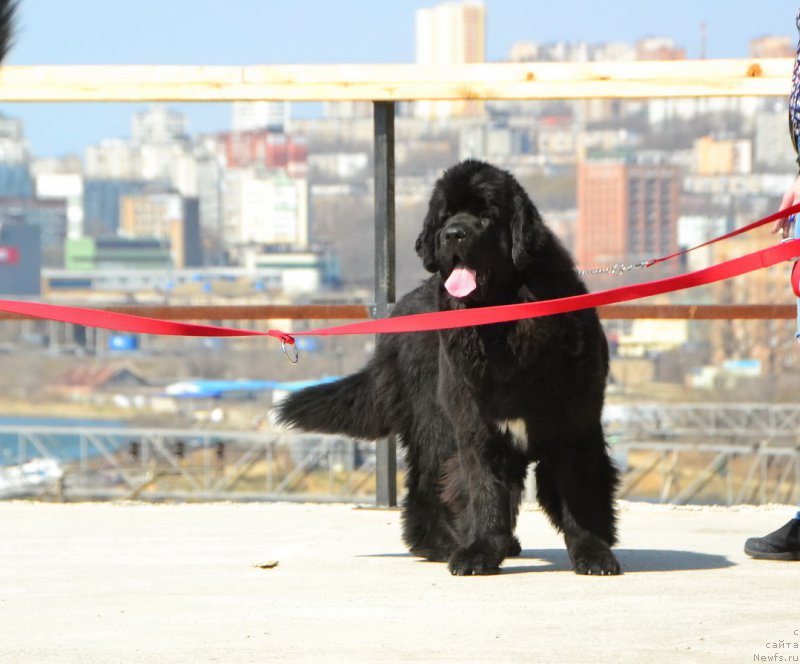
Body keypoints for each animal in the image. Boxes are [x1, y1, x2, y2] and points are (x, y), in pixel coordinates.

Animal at [278, 161, 620, 576]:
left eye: (487, 216)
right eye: (445, 217)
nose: (453, 234)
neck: (502, 324)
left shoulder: (573, 423)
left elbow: (579, 493)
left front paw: (593, 552)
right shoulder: (475, 427)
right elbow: (482, 490)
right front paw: (479, 551)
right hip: (435, 423)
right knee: (429, 486)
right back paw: (442, 544)